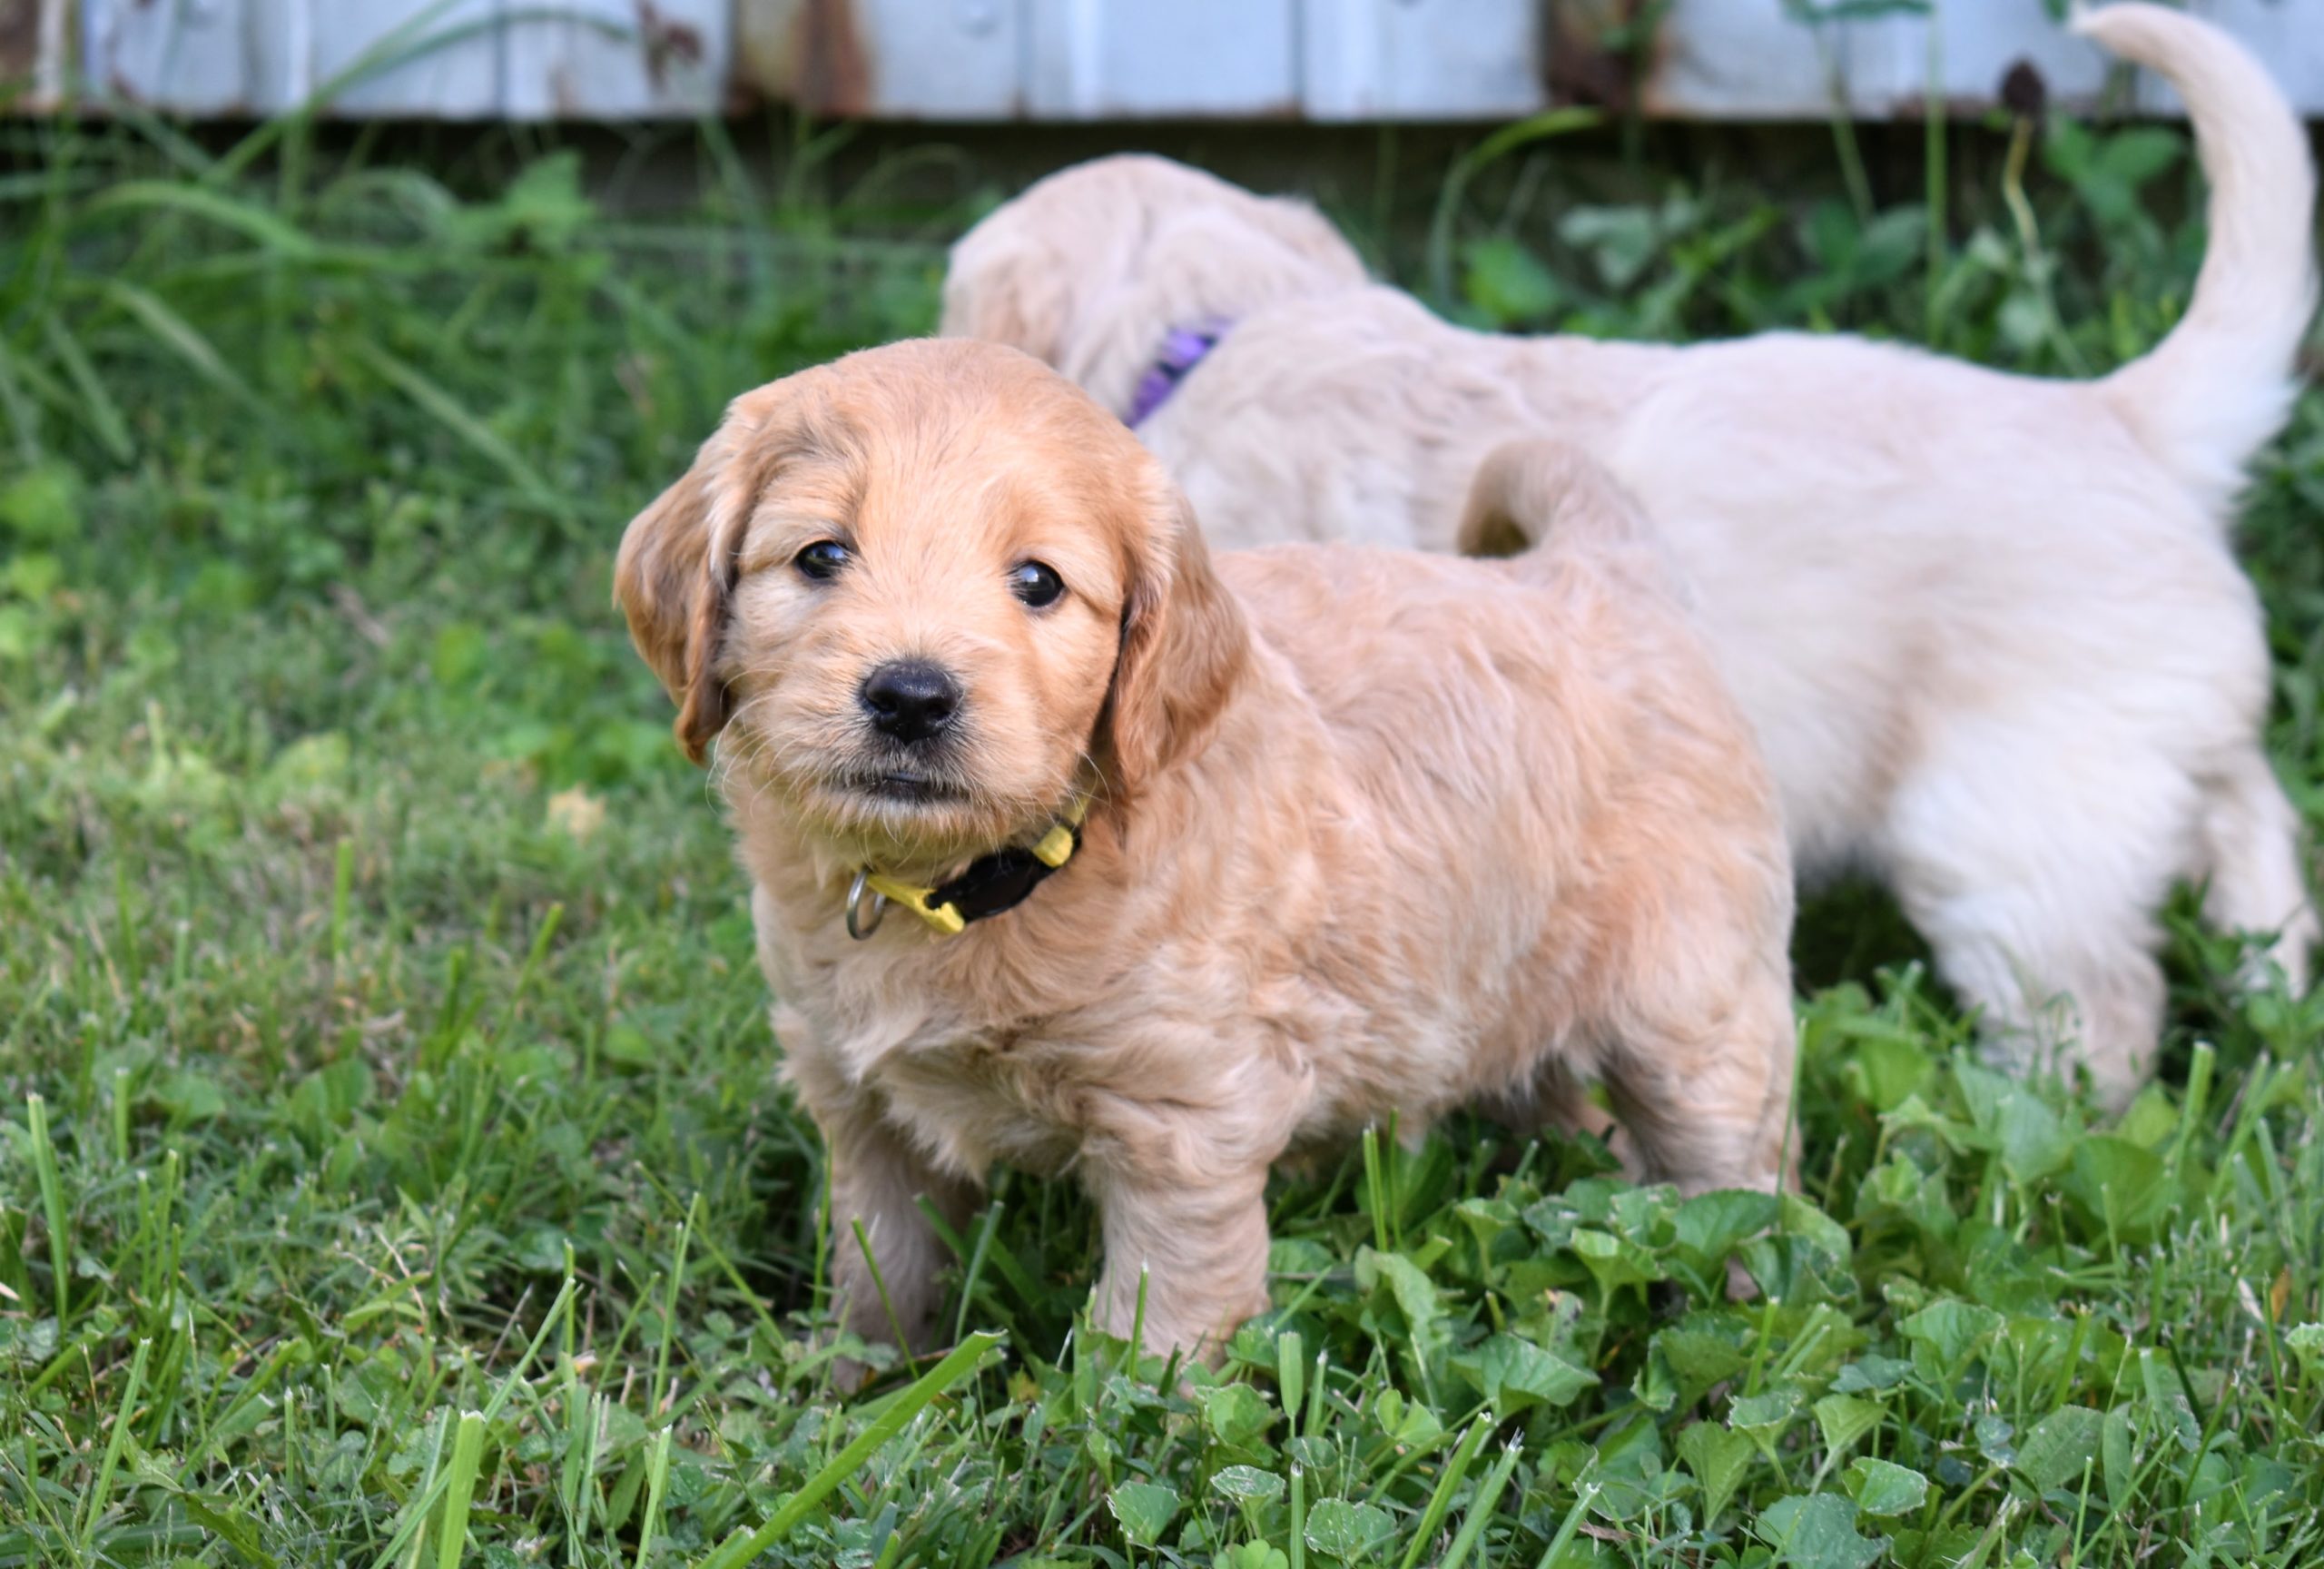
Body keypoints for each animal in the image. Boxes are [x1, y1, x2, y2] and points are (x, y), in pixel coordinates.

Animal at [608, 341, 1785, 1367]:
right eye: (821, 556)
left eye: (1037, 582)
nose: (909, 696)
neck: (986, 879)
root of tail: (1599, 570)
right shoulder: (853, 1094)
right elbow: (883, 1267)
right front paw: (858, 1386)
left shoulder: (1181, 1120)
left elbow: (1152, 1336)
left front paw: (1115, 1439)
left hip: (1698, 1014)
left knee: (1740, 1186)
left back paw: (1736, 1323)